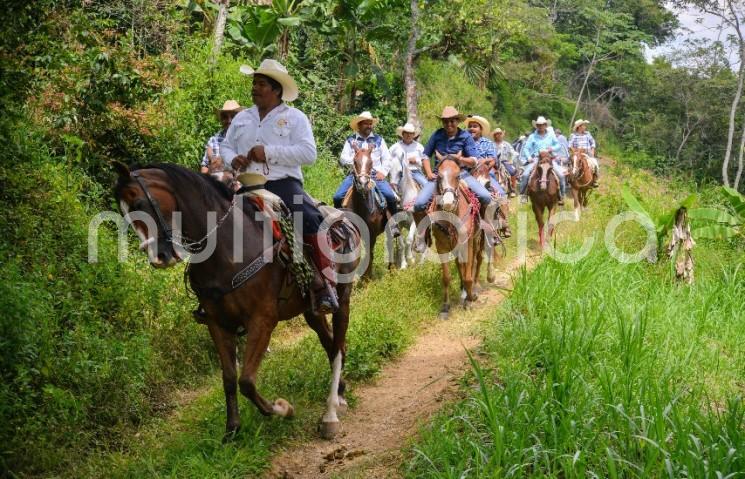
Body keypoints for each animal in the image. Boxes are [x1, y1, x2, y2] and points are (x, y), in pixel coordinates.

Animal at [113, 164, 360, 442]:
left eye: (139, 203)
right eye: (123, 213)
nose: (158, 258)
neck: (226, 248)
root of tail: (342, 220)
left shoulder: (262, 321)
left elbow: (247, 381)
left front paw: (283, 409)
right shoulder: (217, 324)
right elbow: (230, 378)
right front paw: (232, 429)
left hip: (343, 296)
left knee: (338, 347)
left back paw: (332, 411)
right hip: (311, 310)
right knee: (329, 343)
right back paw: (339, 390)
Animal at [342, 146, 386, 282]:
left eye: (371, 162)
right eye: (355, 161)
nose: (363, 183)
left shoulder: (372, 234)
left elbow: (369, 254)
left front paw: (367, 279)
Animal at [424, 154, 482, 318]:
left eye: (458, 175)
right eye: (439, 176)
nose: (448, 202)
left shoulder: (467, 243)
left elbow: (468, 273)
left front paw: (470, 300)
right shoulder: (442, 246)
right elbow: (446, 277)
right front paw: (445, 306)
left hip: (476, 240)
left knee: (476, 260)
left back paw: (472, 290)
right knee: (459, 264)